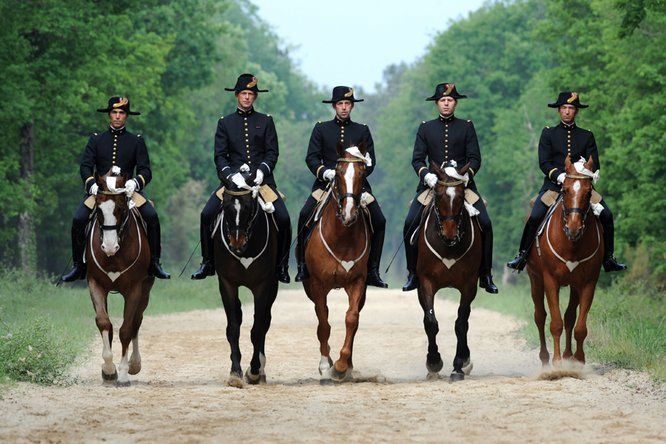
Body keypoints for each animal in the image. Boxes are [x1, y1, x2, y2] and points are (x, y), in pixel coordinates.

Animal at [85, 169, 152, 386]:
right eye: (98, 209)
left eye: (121, 208)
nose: (109, 247)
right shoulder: (95, 284)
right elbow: (104, 322)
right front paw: (108, 369)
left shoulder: (135, 289)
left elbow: (126, 329)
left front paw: (122, 373)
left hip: (146, 290)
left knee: (137, 321)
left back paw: (134, 364)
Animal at [412, 161, 480, 380]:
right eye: (438, 194)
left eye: (460, 196)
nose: (450, 235)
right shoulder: (425, 283)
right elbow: (430, 321)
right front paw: (433, 362)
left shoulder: (469, 285)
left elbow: (461, 323)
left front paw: (458, 365)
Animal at [524, 154, 600, 366]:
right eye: (565, 189)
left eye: (588, 192)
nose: (574, 228)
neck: (571, 244)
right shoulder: (551, 280)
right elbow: (555, 322)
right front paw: (557, 362)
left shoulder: (588, 282)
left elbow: (579, 326)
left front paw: (578, 360)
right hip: (535, 279)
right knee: (540, 316)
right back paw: (545, 358)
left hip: (574, 285)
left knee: (570, 317)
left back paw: (568, 355)